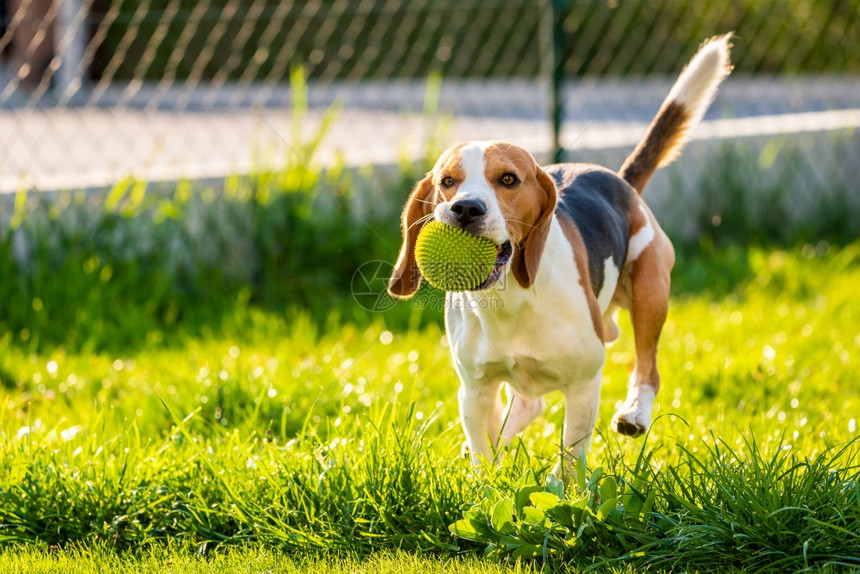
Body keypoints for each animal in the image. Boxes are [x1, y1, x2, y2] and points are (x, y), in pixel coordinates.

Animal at [390, 36, 732, 470]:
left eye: (508, 179)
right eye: (447, 181)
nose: (466, 208)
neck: (510, 301)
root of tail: (620, 180)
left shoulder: (585, 382)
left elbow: (570, 458)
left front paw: (562, 486)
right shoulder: (474, 389)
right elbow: (485, 456)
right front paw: (487, 480)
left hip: (650, 290)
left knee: (647, 368)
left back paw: (635, 412)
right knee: (527, 406)